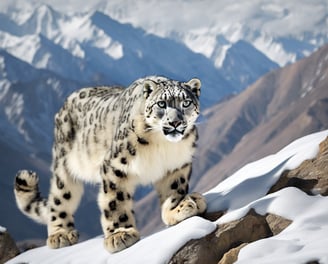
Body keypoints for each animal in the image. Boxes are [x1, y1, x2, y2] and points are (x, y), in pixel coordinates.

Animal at [14, 76, 208, 254]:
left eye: (186, 102)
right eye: (161, 103)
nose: (175, 122)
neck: (163, 145)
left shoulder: (177, 165)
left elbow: (174, 190)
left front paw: (179, 208)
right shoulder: (115, 166)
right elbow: (115, 200)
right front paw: (120, 234)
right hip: (64, 166)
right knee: (60, 198)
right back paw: (61, 234)